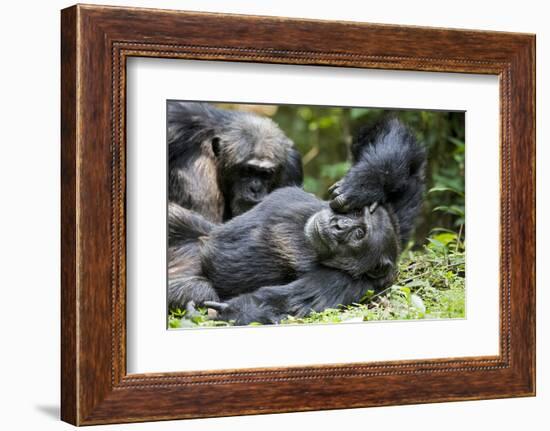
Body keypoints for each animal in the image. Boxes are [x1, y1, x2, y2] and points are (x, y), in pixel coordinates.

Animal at [168, 116, 426, 326]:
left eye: (359, 234)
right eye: (356, 215)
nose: (338, 226)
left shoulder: (349, 285)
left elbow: (290, 302)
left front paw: (238, 312)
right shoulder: (394, 215)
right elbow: (397, 150)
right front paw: (365, 182)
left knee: (201, 290)